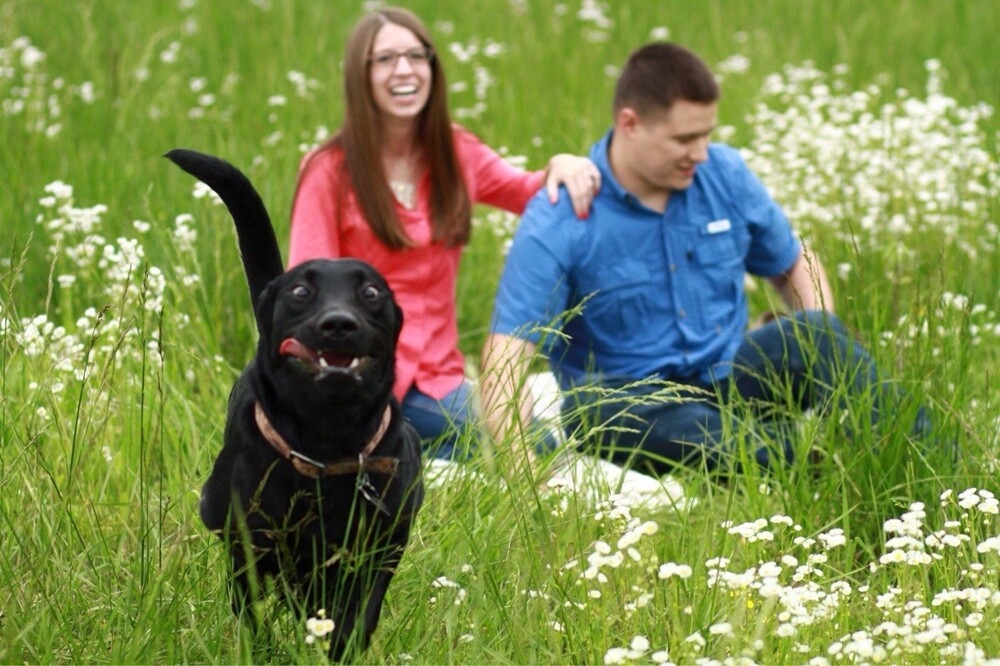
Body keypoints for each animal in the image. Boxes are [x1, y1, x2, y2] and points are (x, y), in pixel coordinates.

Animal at [166, 148, 424, 656]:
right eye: (301, 291)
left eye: (371, 292)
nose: (338, 323)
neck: (326, 444)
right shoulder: (248, 544)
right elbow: (251, 611)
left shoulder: (384, 543)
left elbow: (361, 612)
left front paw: (340, 642)